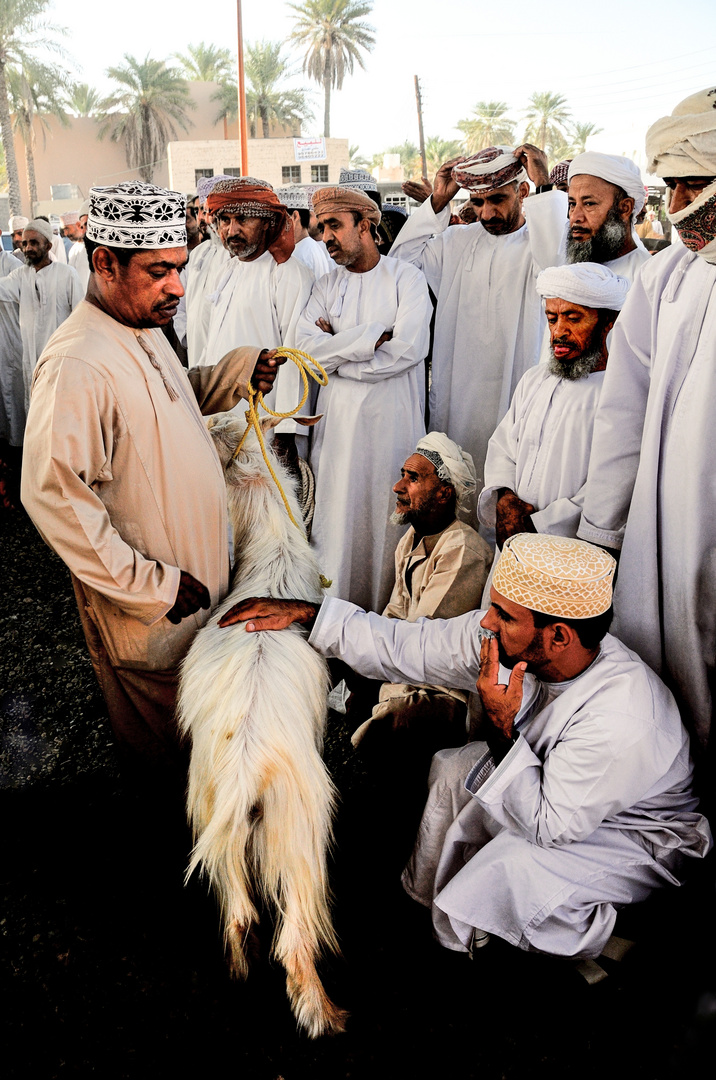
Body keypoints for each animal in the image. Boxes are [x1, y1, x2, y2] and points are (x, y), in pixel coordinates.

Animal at [178, 412, 347, 1036]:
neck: (271, 556)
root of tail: (246, 770)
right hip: (299, 837)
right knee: (292, 942)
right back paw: (324, 1013)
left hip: (215, 822)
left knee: (238, 916)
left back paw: (237, 971)